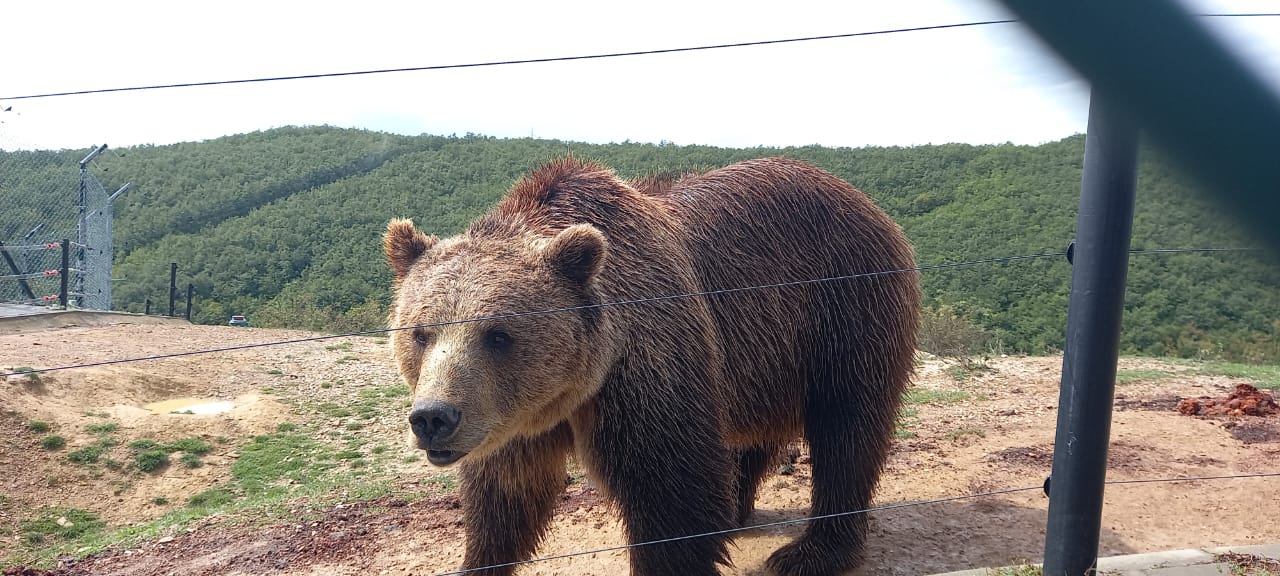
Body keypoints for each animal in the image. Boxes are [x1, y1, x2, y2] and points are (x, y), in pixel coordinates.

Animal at [383, 156, 921, 576]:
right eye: (421, 332)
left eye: (498, 335)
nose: (433, 418)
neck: (575, 388)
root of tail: (864, 199)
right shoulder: (510, 418)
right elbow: (504, 499)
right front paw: (477, 560)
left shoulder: (645, 367)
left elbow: (670, 495)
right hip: (761, 356)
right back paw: (736, 508)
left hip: (844, 307)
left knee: (846, 429)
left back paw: (810, 552)